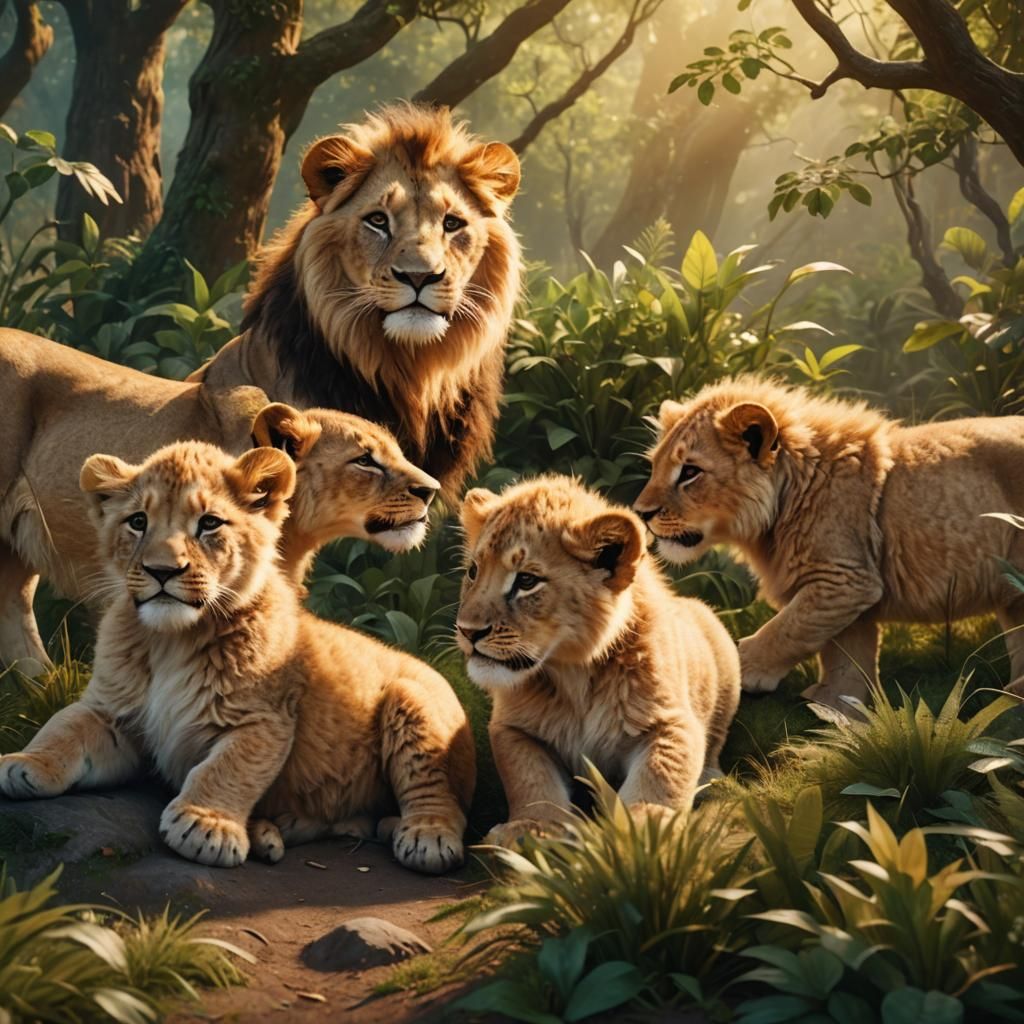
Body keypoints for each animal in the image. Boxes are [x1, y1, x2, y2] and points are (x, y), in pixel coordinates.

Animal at [0, 441, 474, 874]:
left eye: (209, 523)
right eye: (138, 521)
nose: (161, 571)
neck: (171, 641)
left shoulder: (263, 720)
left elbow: (226, 768)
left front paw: (204, 825)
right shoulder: (110, 712)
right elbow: (63, 727)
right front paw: (24, 764)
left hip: (412, 702)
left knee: (441, 797)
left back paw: (426, 837)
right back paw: (275, 830)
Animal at [454, 475, 740, 846]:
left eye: (527, 580)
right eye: (473, 571)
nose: (467, 631)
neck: (575, 675)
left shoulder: (671, 721)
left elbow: (662, 772)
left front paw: (645, 826)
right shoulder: (512, 728)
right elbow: (529, 778)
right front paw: (531, 828)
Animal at [634, 376, 1024, 708]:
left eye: (690, 472)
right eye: (655, 466)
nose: (641, 513)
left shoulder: (843, 579)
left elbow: (784, 631)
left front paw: (738, 673)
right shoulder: (849, 588)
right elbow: (846, 657)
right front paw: (836, 711)